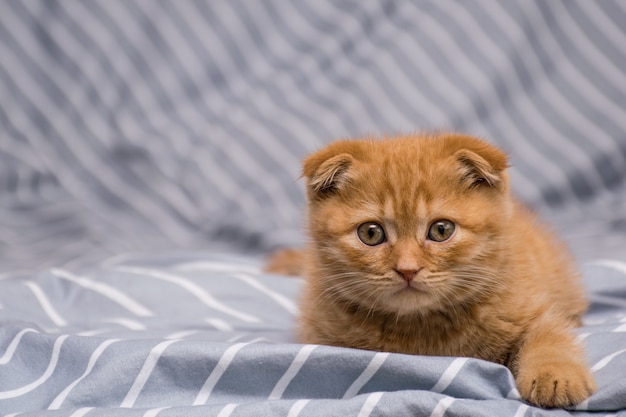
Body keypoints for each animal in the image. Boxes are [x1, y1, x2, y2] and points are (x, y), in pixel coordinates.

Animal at [264, 132, 596, 406]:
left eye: (441, 230)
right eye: (371, 233)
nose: (407, 269)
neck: (424, 329)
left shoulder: (533, 307)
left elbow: (549, 336)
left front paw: (556, 375)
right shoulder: (320, 335)